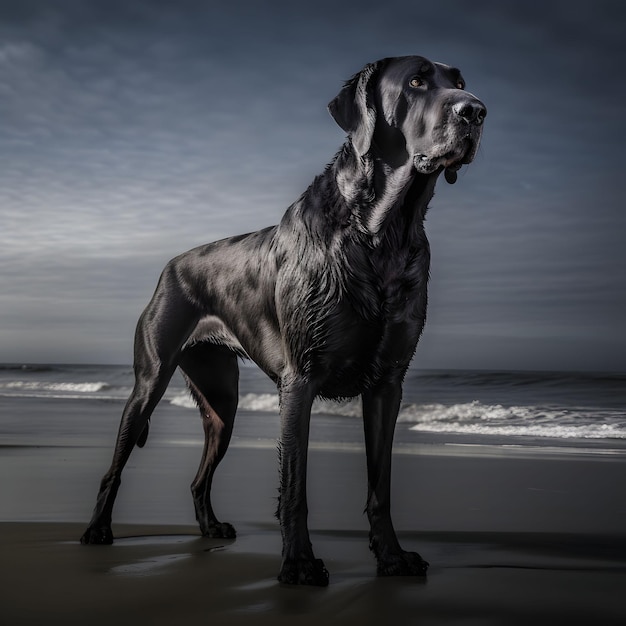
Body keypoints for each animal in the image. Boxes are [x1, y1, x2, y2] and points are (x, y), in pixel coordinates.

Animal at [80, 54, 486, 584]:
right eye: (416, 81)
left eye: (459, 82)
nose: (475, 110)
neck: (382, 233)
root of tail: (171, 264)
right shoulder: (301, 380)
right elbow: (294, 486)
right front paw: (298, 563)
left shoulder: (388, 385)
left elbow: (380, 486)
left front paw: (392, 557)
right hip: (149, 382)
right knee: (115, 464)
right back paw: (97, 530)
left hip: (223, 401)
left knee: (200, 475)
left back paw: (210, 528)